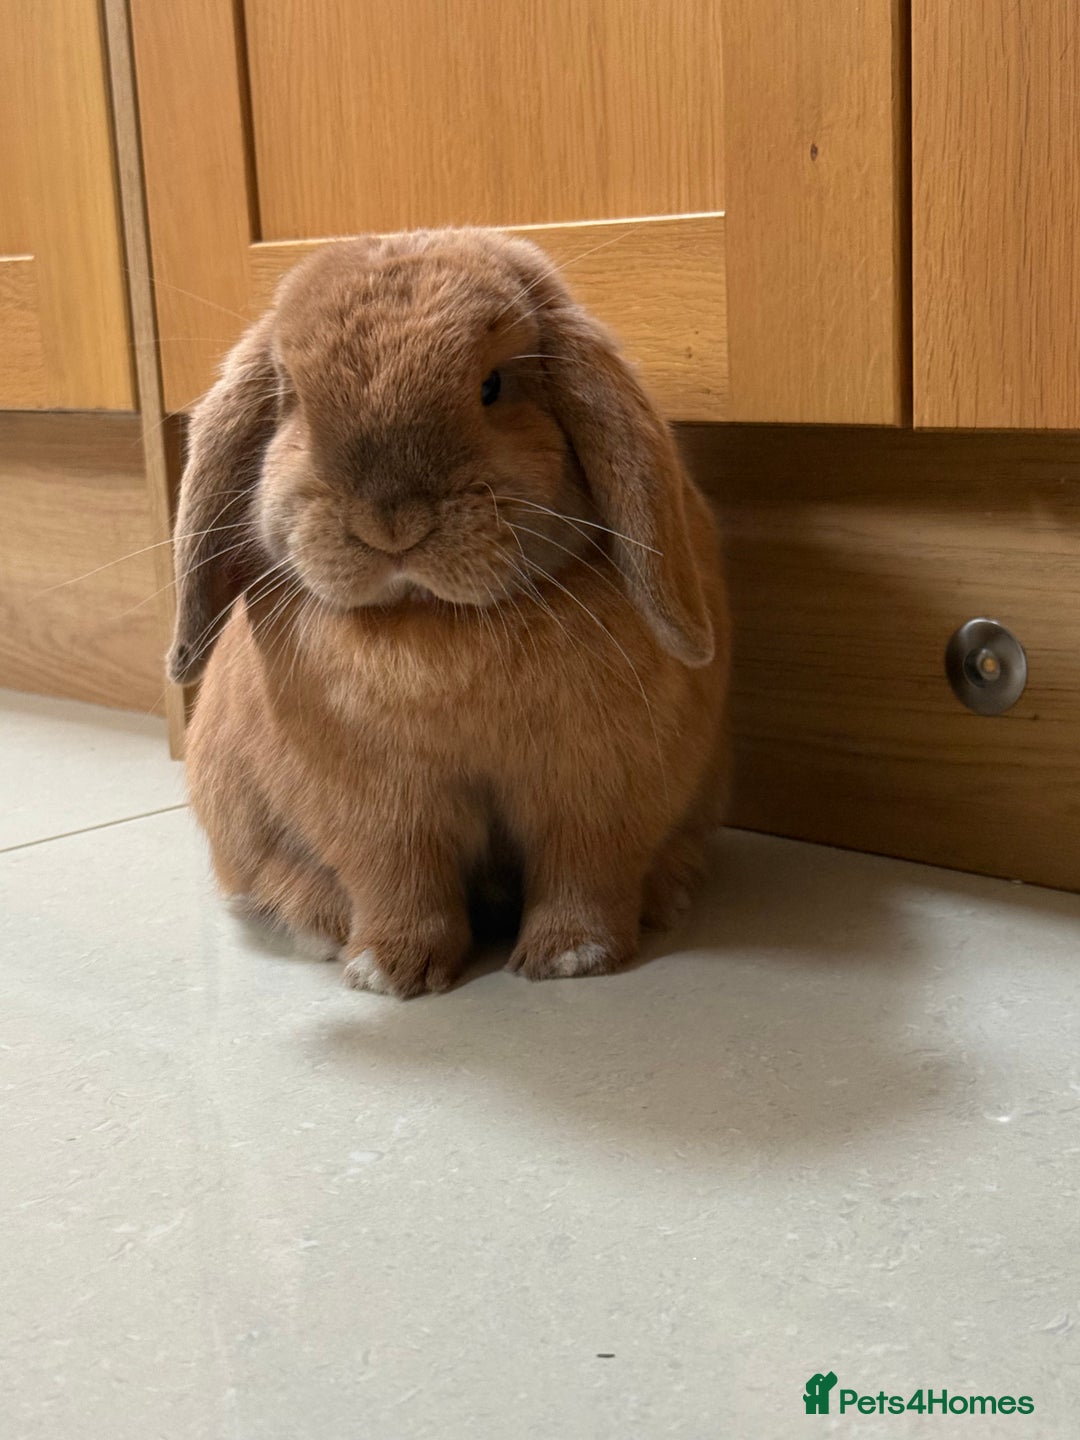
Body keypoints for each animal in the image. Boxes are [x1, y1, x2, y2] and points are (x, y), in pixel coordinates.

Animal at [169, 228, 730, 998]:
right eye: (295, 404)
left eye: (492, 386)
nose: (391, 520)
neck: (434, 622)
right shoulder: (382, 815)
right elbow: (402, 886)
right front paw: (390, 972)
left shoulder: (598, 793)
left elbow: (586, 874)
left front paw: (570, 959)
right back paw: (322, 923)